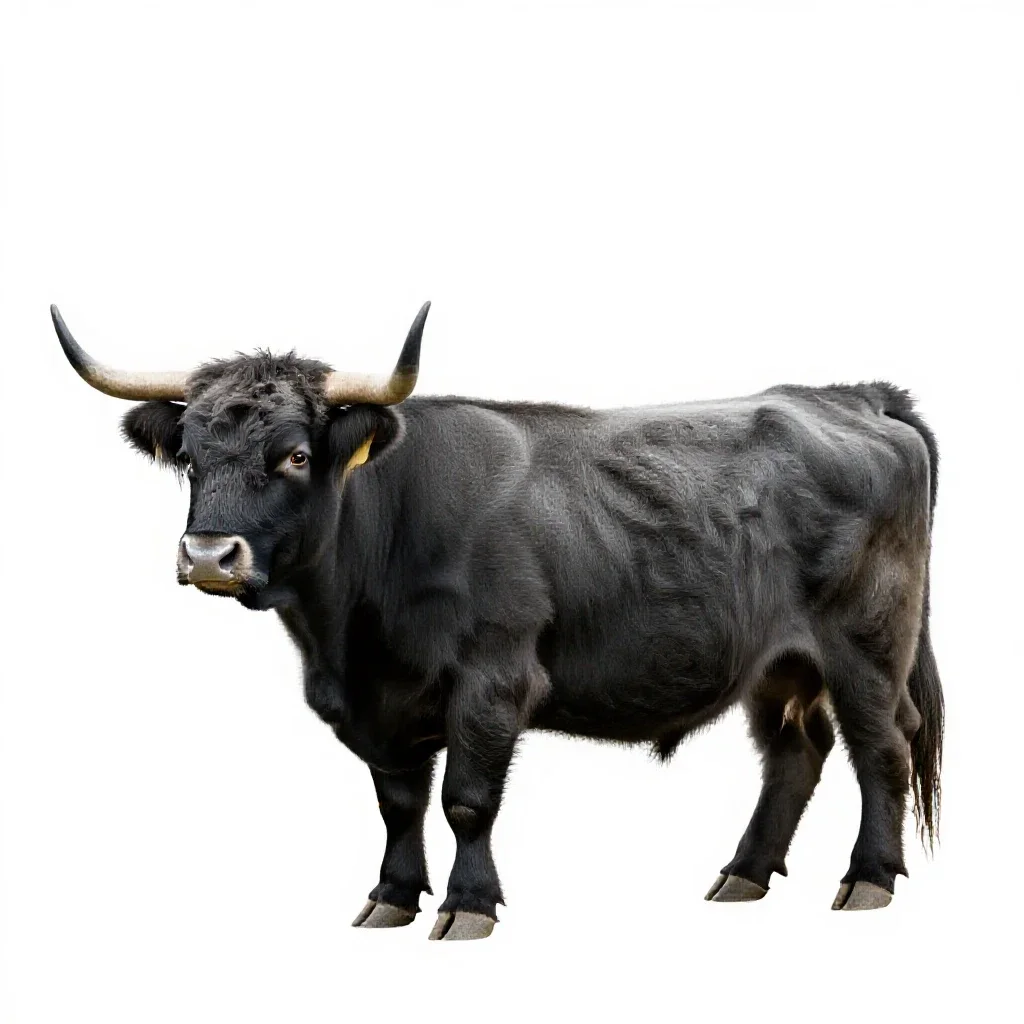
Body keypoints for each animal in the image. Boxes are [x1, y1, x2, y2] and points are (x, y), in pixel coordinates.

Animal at [50, 302, 943, 940]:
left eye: (296, 455)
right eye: (191, 457)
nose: (209, 554)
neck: (348, 636)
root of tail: (850, 397)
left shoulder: (492, 678)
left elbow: (467, 800)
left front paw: (467, 905)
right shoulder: (382, 703)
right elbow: (399, 802)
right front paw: (391, 896)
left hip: (866, 643)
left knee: (882, 746)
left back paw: (868, 879)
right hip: (776, 662)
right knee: (796, 753)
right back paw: (744, 874)